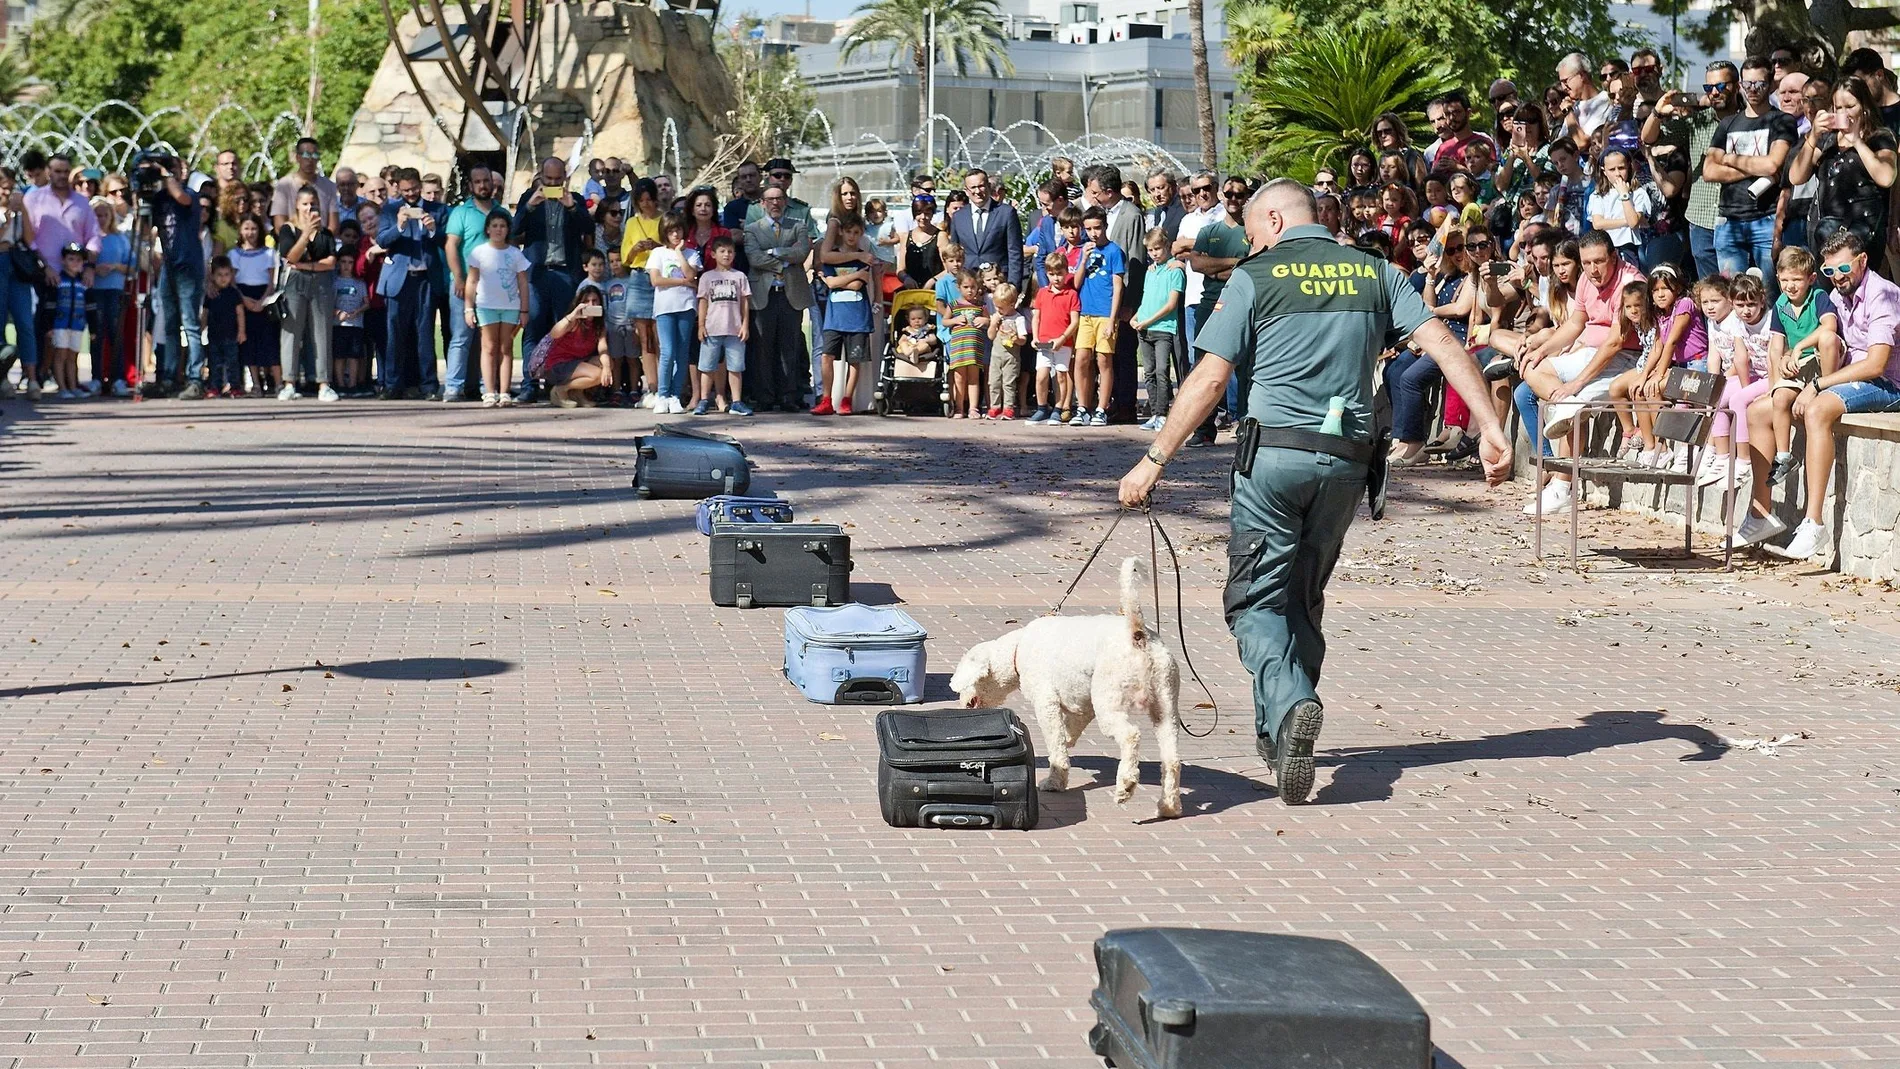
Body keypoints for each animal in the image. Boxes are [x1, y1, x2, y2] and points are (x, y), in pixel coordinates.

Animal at [957, 562, 1178, 820]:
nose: (961, 705)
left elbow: (1056, 743)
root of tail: (1138, 635)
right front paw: (1068, 742)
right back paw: (1169, 806)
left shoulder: (1046, 703)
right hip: (1165, 705)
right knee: (1172, 758)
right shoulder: (1082, 704)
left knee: (1131, 735)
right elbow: (1068, 732)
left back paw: (1126, 785)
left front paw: (1055, 781)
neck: (1018, 648)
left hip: (1110, 701)